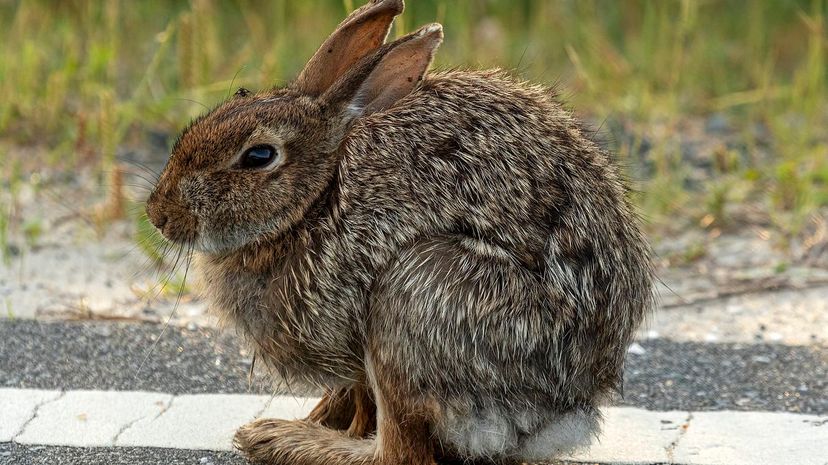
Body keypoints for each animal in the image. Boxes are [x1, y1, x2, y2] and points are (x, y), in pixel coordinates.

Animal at [146, 0, 656, 462]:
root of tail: (564, 410)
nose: (159, 215)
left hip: (415, 299)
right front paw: (318, 418)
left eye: (258, 156)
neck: (317, 198)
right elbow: (349, 399)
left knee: (398, 452)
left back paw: (281, 440)